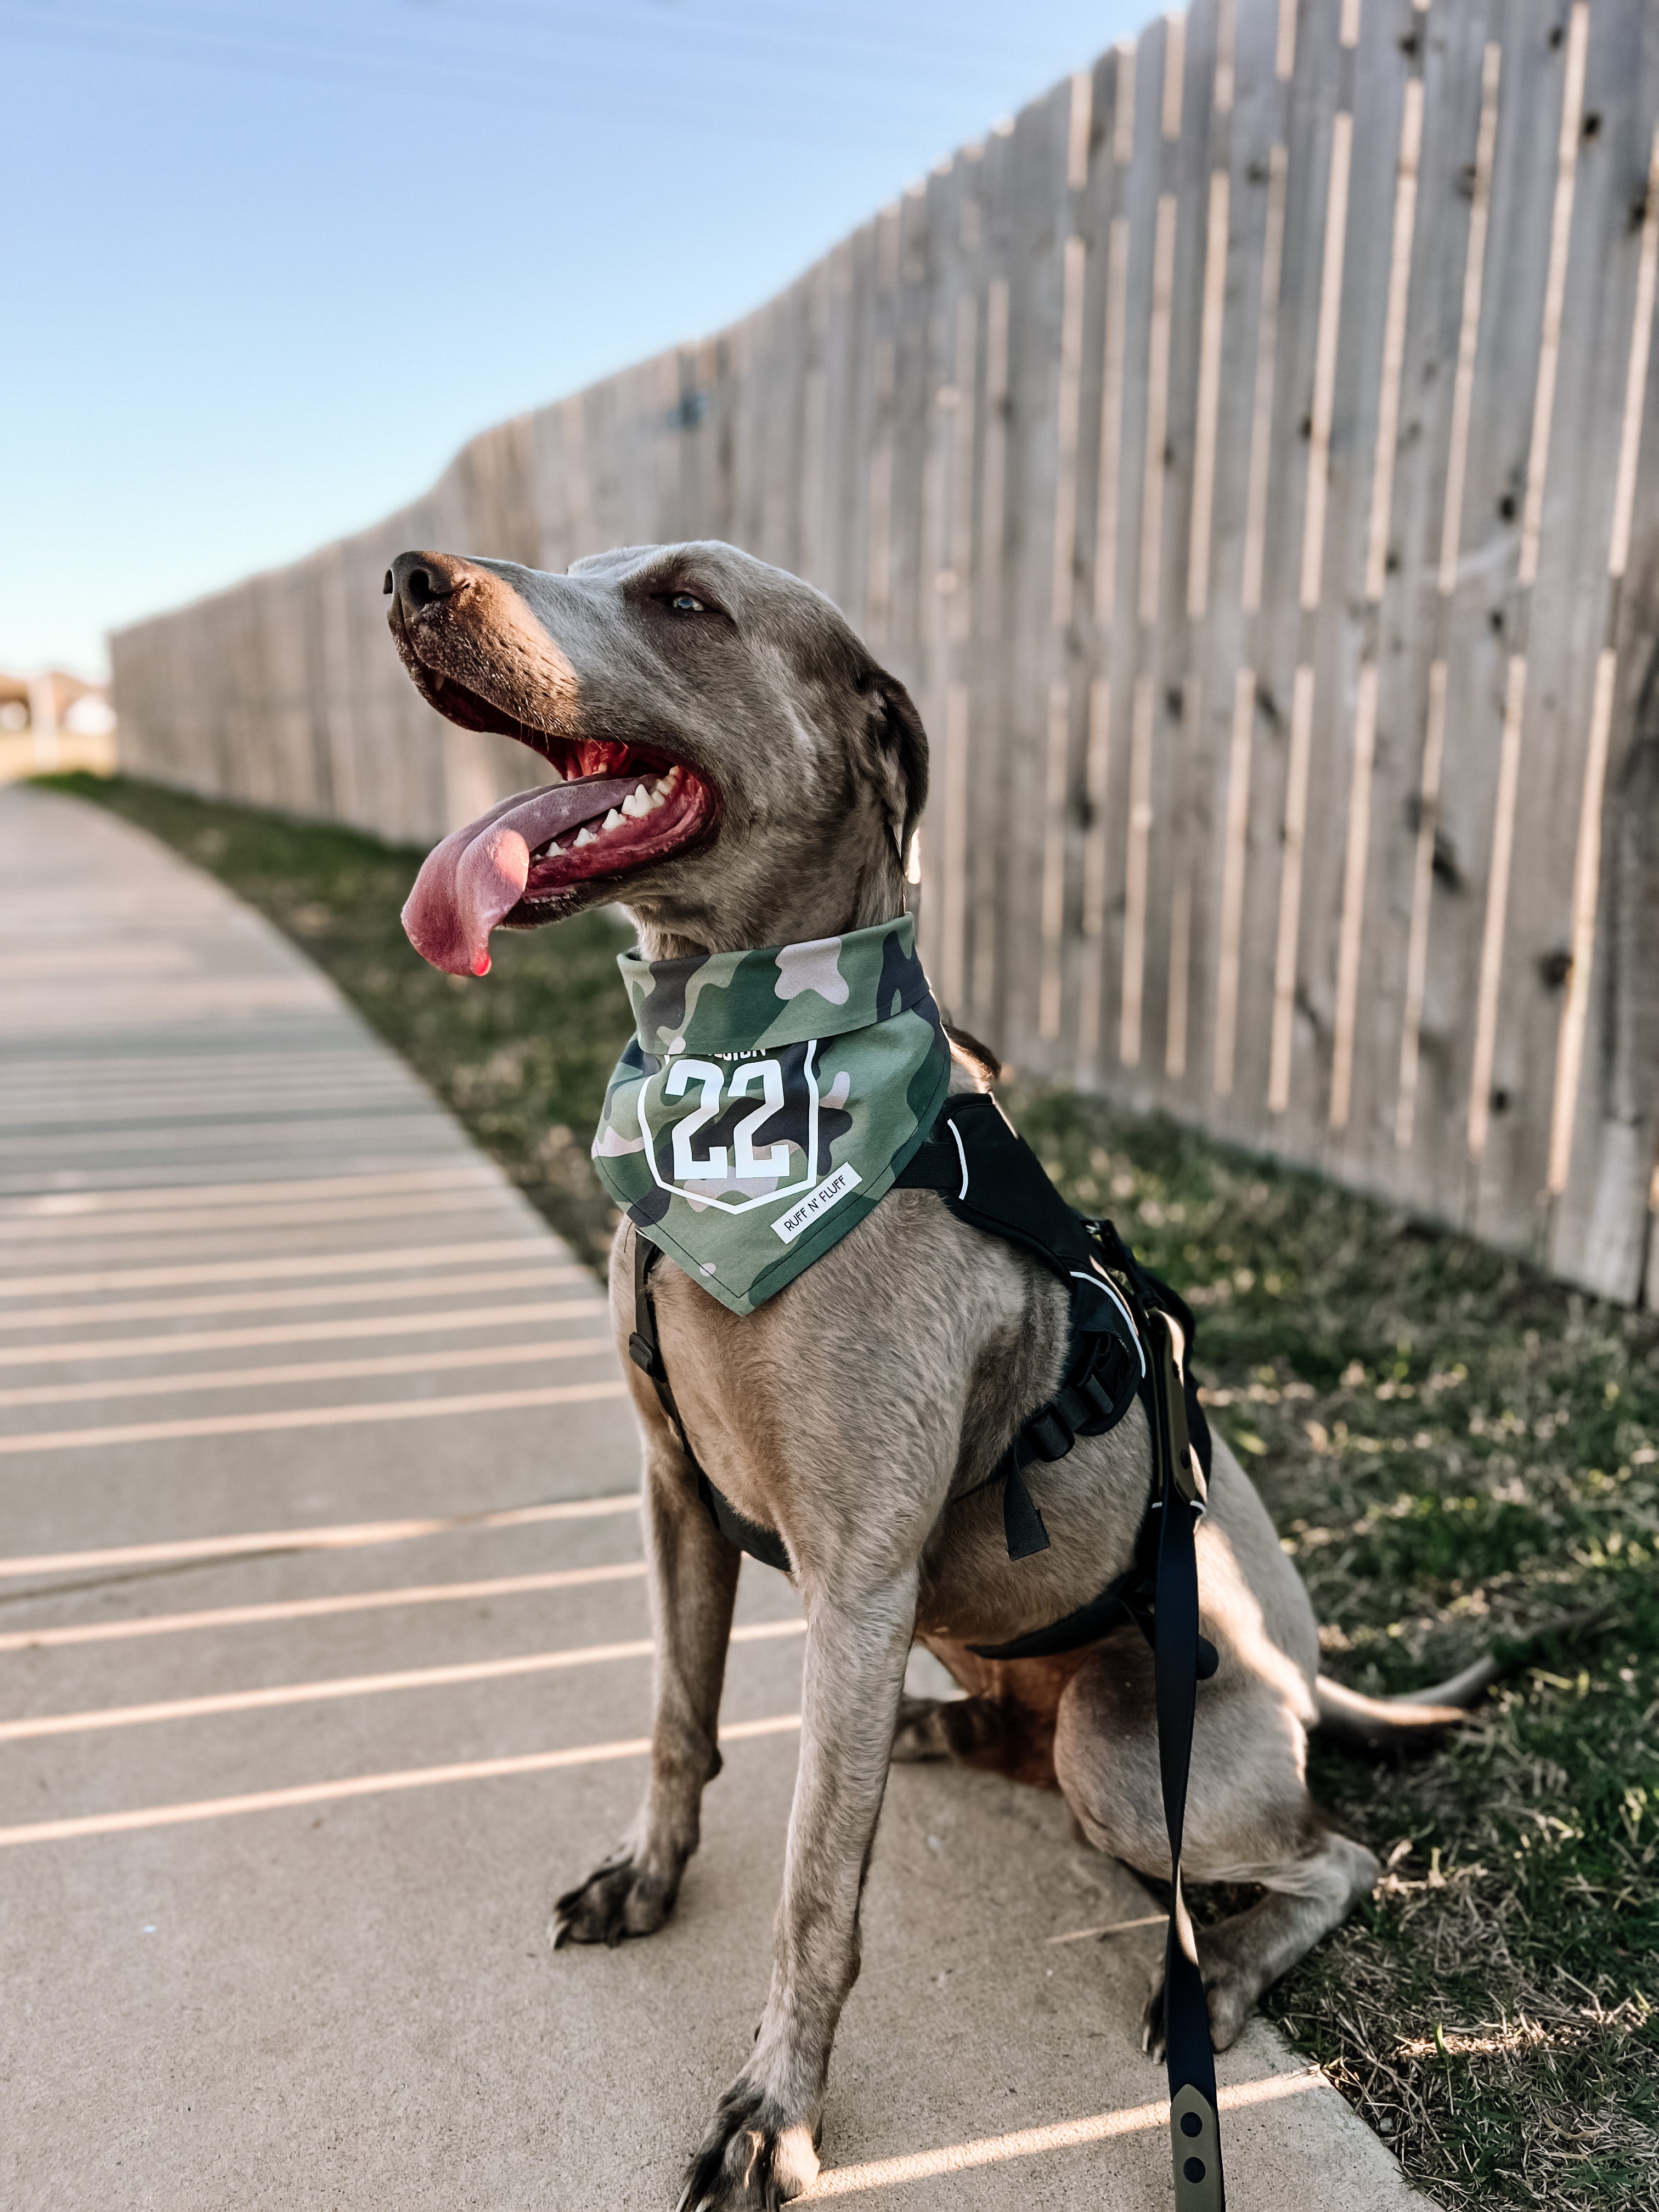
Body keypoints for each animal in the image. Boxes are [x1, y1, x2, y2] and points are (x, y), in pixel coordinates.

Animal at [387, 539, 1477, 2212]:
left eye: (685, 599)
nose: (412, 577)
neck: (737, 1080)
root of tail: (1305, 1677)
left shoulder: (858, 1576)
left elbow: (816, 1895)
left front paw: (774, 2113)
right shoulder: (676, 1497)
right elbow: (676, 1724)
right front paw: (649, 1879)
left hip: (1129, 1741)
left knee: (1330, 1852)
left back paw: (1218, 1977)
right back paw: (950, 1732)